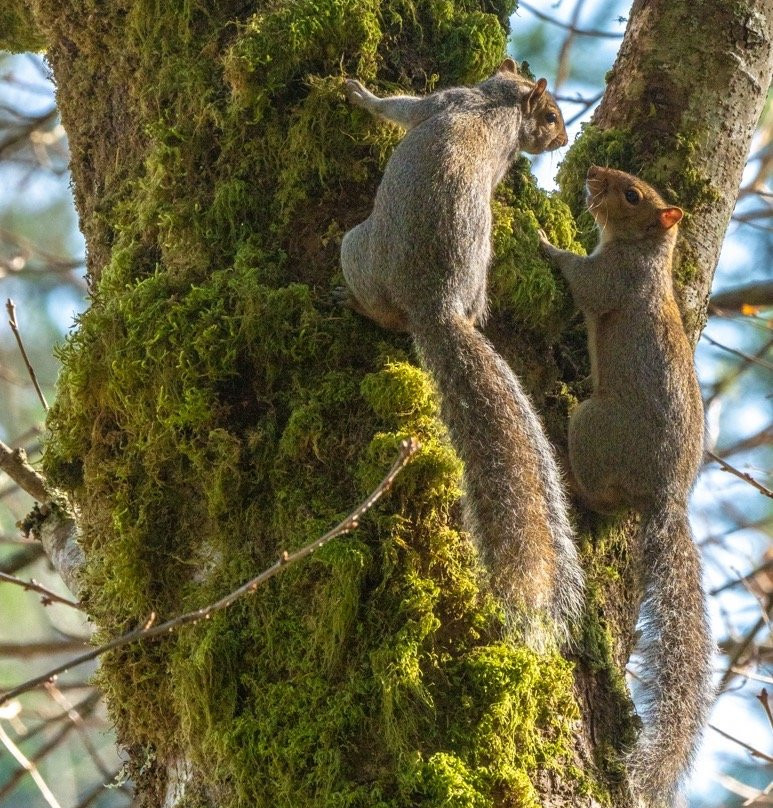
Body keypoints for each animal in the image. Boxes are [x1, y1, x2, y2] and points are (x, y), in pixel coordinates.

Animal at [340, 60, 584, 648]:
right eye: (551, 116)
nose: (562, 139)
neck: (495, 102)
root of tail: (437, 306)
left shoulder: (441, 102)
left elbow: (398, 108)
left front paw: (358, 94)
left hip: (356, 250)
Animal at [536, 164, 712, 808]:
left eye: (633, 195)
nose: (592, 171)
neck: (646, 255)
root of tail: (666, 492)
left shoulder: (611, 280)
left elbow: (580, 279)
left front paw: (543, 238)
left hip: (596, 426)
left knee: (594, 491)